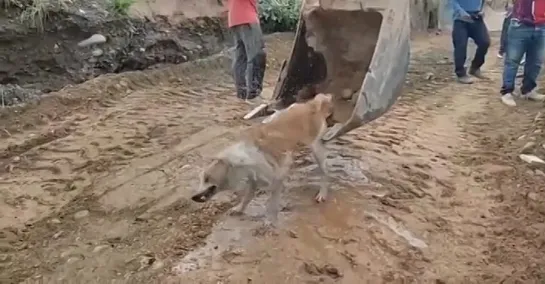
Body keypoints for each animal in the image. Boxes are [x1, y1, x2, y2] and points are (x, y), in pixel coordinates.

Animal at [191, 93, 332, 226]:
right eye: (201, 179)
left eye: (207, 179)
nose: (193, 197)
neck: (241, 161)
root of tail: (311, 104)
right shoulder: (253, 179)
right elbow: (247, 197)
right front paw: (240, 209)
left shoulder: (276, 178)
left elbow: (272, 203)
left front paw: (270, 220)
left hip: (315, 149)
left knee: (325, 171)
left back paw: (322, 193)